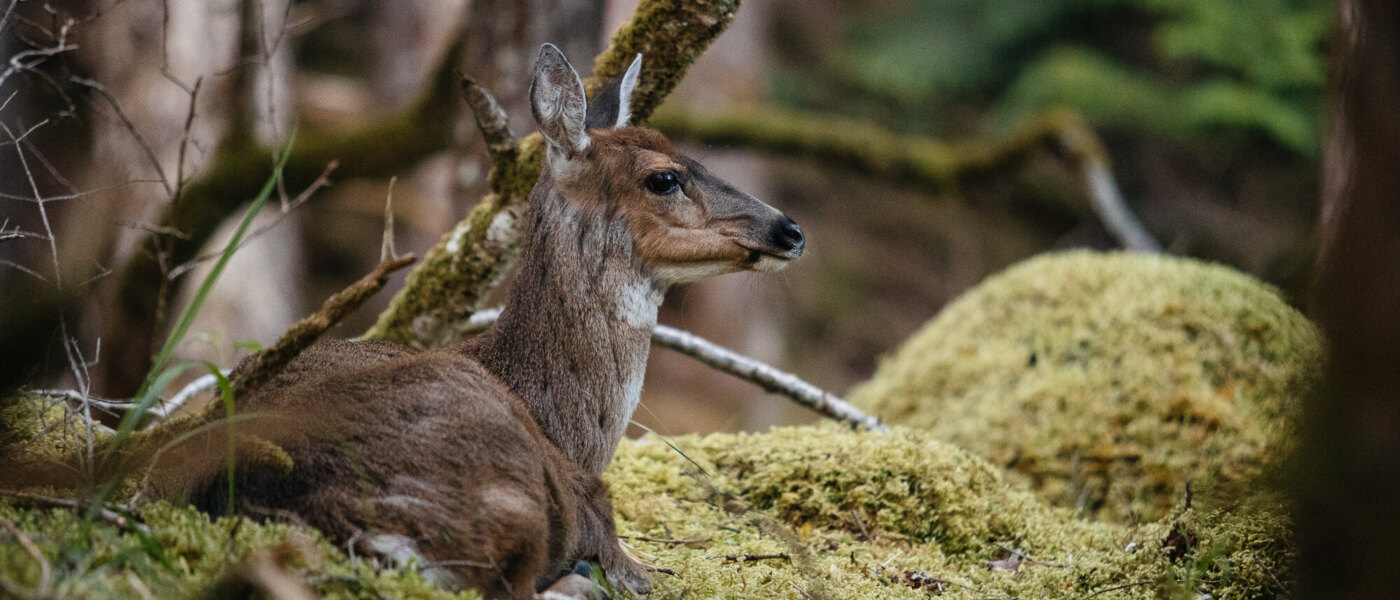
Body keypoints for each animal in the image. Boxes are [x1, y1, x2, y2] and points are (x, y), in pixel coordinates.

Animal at [139, 43, 812, 598]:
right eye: (663, 178)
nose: (790, 230)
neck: (568, 430)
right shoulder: (595, 511)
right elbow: (635, 569)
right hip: (506, 486)